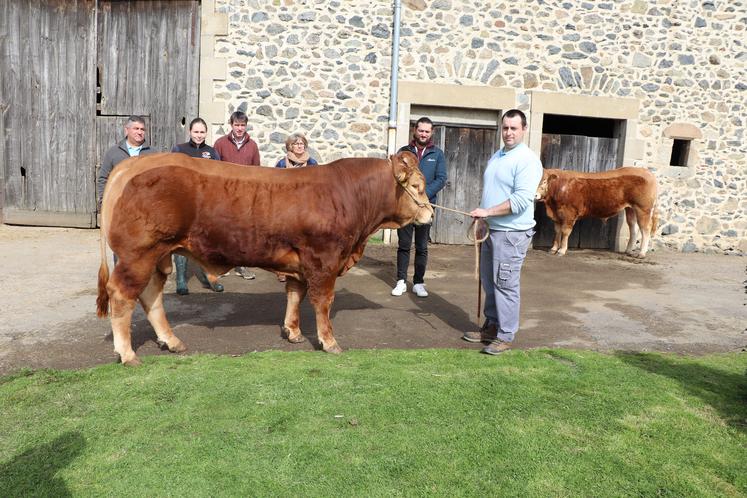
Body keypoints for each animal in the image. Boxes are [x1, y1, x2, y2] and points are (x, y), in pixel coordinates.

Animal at [95, 152, 432, 366]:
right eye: (417, 187)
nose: (430, 213)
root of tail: (134, 163)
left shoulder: (300, 264)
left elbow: (295, 296)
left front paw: (293, 333)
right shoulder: (323, 260)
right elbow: (323, 302)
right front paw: (329, 342)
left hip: (157, 255)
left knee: (151, 296)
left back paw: (171, 341)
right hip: (139, 254)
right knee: (122, 296)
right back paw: (128, 354)